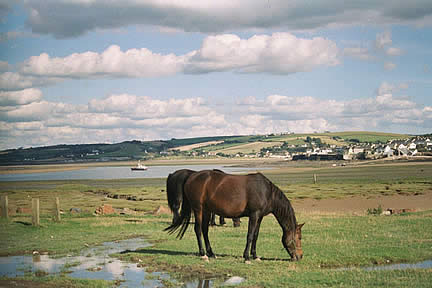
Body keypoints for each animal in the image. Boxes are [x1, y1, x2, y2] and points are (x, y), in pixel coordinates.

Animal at [165, 170, 304, 262]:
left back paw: (211, 253)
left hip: (207, 210)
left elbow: (255, 236)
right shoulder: (254, 215)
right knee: (198, 230)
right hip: (198, 209)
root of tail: (191, 176)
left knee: (205, 230)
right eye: (299, 237)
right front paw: (247, 257)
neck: (266, 192)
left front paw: (255, 256)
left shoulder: (260, 217)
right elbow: (250, 235)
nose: (300, 256)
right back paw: (203, 254)